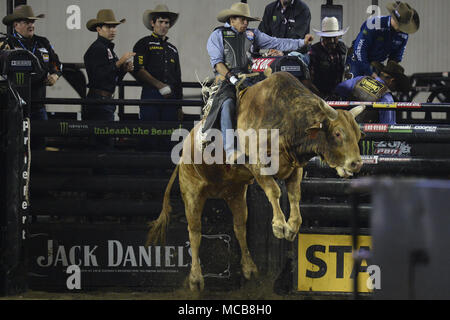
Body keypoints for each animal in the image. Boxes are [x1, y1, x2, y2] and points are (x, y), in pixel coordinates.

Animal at [148, 71, 366, 292]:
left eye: (358, 135)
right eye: (338, 133)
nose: (356, 163)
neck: (286, 118)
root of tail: (183, 151)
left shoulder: (294, 168)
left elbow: (295, 195)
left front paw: (292, 227)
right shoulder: (257, 163)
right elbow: (274, 191)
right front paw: (279, 226)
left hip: (235, 193)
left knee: (239, 227)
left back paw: (249, 267)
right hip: (191, 192)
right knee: (195, 232)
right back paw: (195, 278)